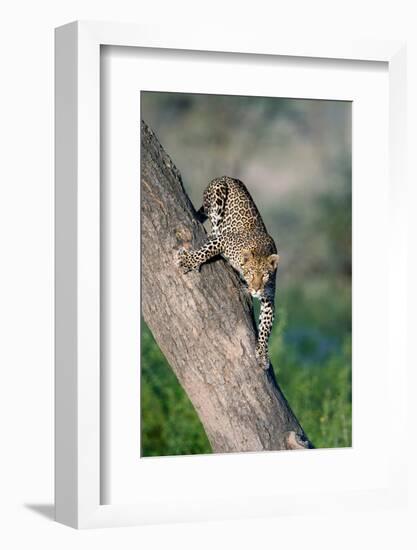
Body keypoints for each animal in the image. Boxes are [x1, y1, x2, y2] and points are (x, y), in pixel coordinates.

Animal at [176, 177, 280, 370]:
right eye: (250, 273)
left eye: (265, 275)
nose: (255, 290)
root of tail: (228, 177)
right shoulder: (224, 241)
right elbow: (205, 252)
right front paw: (187, 260)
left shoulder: (269, 298)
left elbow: (265, 328)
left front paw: (262, 354)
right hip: (218, 191)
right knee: (213, 222)